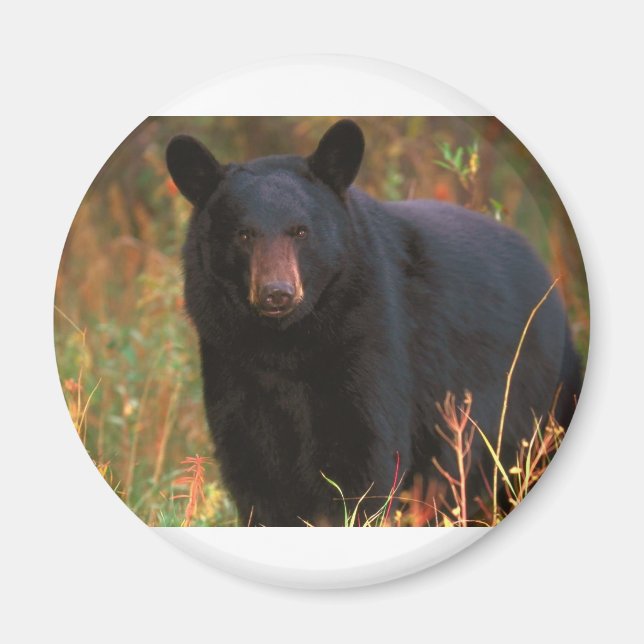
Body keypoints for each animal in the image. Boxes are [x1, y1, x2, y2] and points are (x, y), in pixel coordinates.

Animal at [166, 119, 582, 526]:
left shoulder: (367, 333)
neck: (286, 344)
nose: (277, 293)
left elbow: (363, 454)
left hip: (529, 395)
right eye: (243, 234)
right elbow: (253, 464)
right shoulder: (230, 355)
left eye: (301, 231)